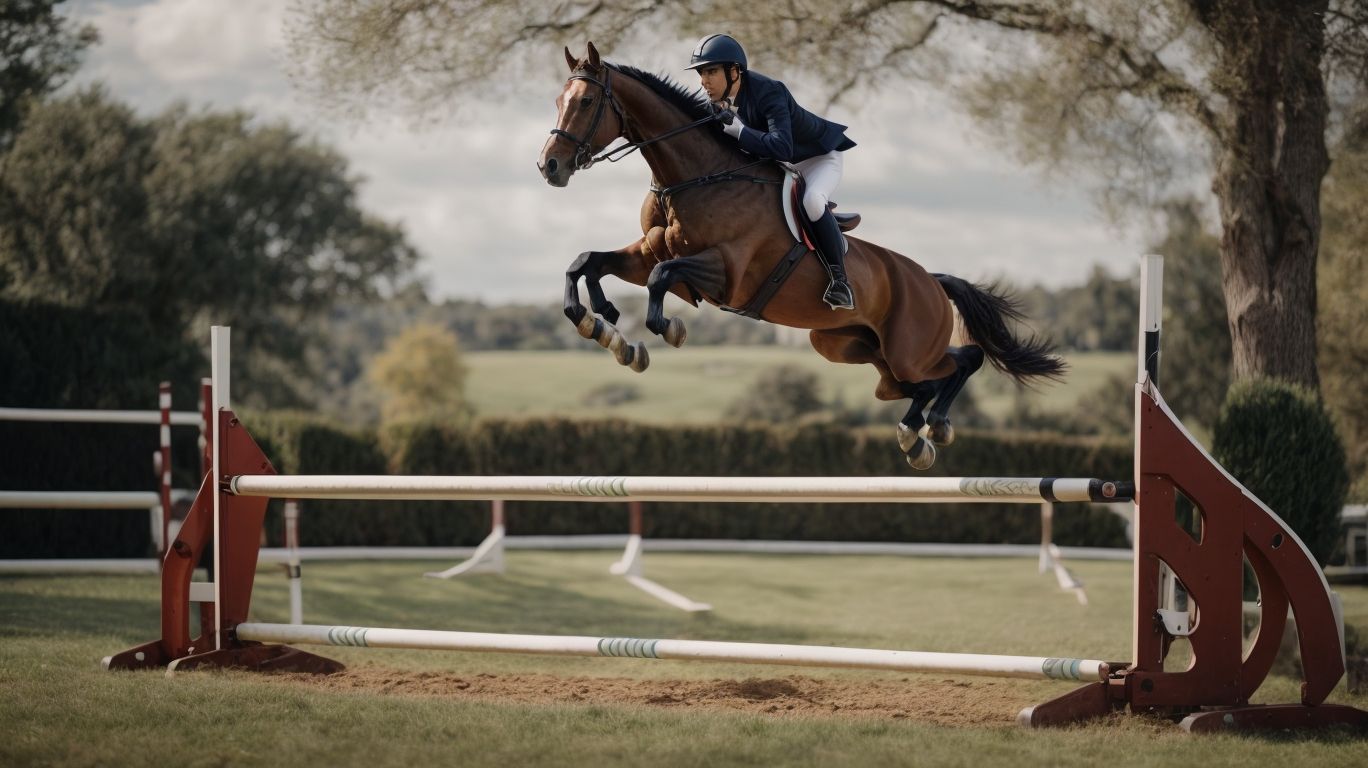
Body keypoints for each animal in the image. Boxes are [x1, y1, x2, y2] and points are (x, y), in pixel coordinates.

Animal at [537, 43, 1065, 469]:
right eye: (558, 101)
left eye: (586, 101)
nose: (549, 167)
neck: (694, 178)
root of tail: (932, 280)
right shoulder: (645, 252)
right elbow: (587, 262)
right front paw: (605, 328)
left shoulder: (727, 273)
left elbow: (660, 280)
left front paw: (666, 329)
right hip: (848, 346)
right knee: (911, 384)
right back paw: (917, 433)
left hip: (908, 347)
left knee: (961, 361)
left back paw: (932, 427)